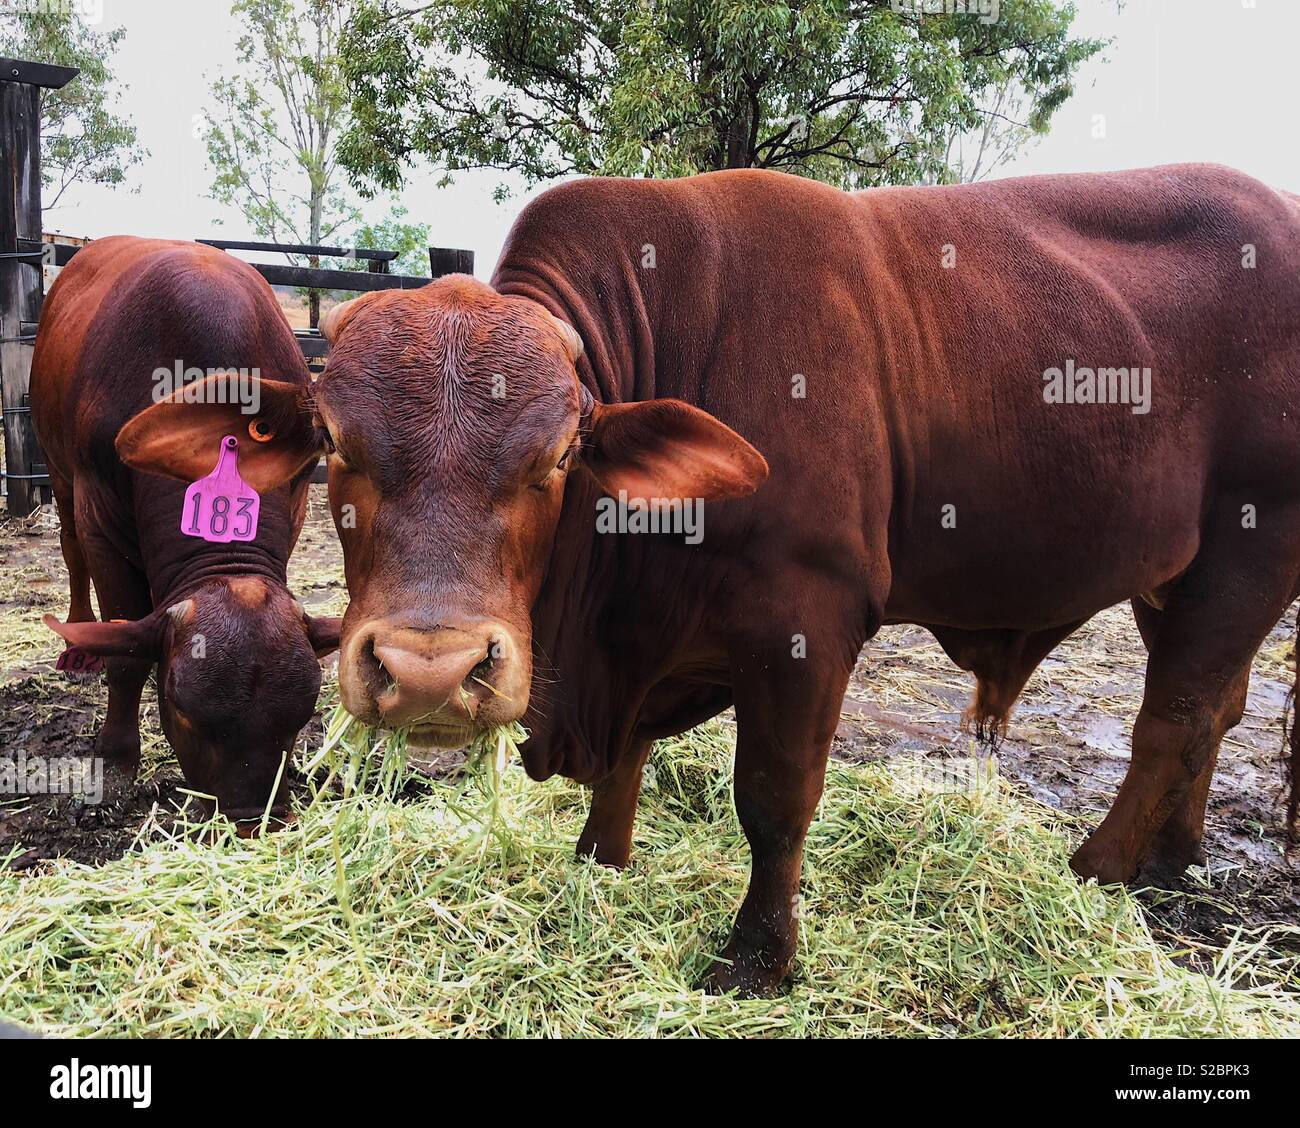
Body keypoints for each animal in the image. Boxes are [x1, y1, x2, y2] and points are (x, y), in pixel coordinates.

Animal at [30, 236, 340, 830]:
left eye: (298, 722)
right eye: (185, 714)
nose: (249, 816)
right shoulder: (98, 513)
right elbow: (126, 655)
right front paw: (115, 761)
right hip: (57, 472)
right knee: (70, 551)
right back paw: (80, 641)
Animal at [114, 164, 1300, 994]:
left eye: (559, 455)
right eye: (332, 443)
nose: (430, 671)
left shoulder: (808, 626)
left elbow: (773, 801)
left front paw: (759, 959)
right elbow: (626, 767)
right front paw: (598, 863)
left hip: (1248, 551)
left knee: (1174, 719)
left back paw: (1100, 867)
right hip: (1180, 578)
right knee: (1217, 708)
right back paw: (1173, 858)